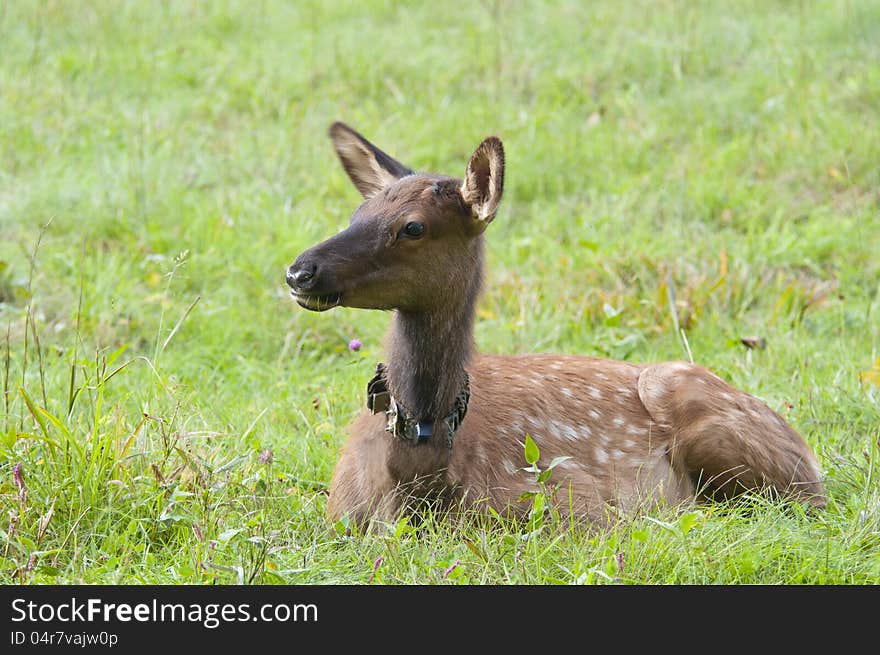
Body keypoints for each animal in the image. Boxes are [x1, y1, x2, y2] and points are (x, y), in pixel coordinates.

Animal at [288, 123, 824, 532]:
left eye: (413, 227)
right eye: (357, 213)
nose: (300, 271)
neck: (419, 480)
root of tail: (809, 456)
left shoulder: (569, 499)